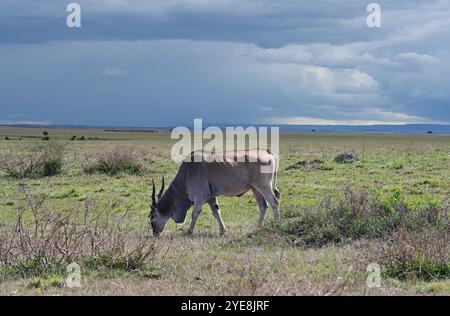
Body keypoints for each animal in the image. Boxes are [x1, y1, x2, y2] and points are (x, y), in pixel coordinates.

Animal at [149, 149, 280, 236]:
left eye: (152, 217)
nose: (155, 233)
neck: (188, 172)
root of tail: (269, 153)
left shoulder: (201, 196)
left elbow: (195, 214)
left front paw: (189, 231)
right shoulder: (211, 198)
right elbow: (217, 212)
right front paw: (223, 231)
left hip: (264, 186)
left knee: (274, 203)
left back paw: (277, 226)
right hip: (255, 189)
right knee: (263, 206)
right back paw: (257, 227)